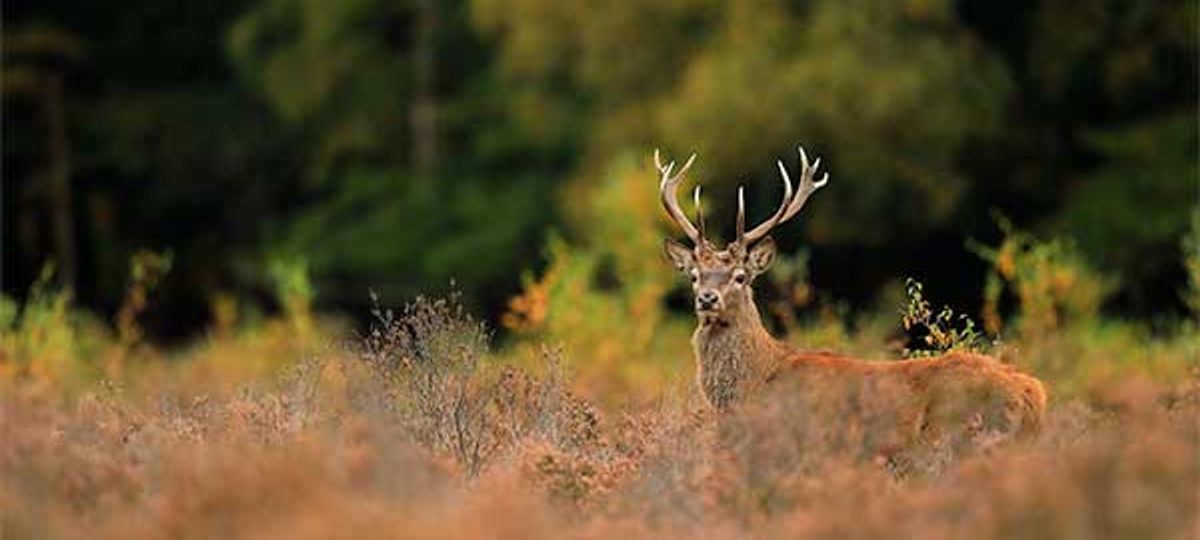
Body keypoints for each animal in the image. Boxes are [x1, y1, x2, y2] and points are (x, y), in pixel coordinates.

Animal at [654, 145, 1047, 453]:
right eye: (694, 276)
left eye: (740, 276)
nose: (707, 298)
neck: (757, 381)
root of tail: (1033, 394)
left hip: (958, 438)